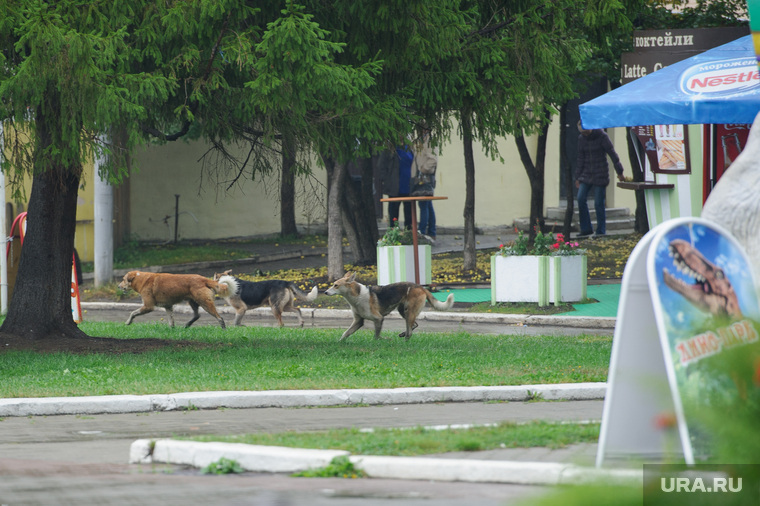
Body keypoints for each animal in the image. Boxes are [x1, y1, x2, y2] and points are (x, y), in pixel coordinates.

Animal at [326, 270, 454, 342]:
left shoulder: (378, 318)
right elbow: (345, 333)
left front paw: (382, 340)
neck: (356, 296)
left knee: (410, 331)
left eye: (336, 285)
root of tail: (421, 287)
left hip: (409, 311)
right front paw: (339, 343)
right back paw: (403, 335)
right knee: (413, 326)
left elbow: (376, 336)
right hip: (403, 311)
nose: (325, 292)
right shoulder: (358, 321)